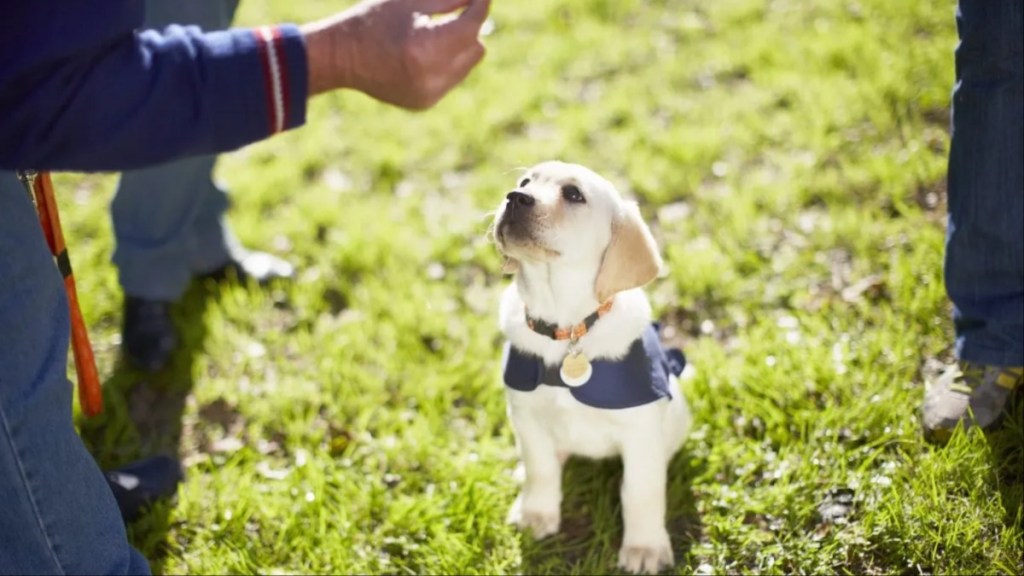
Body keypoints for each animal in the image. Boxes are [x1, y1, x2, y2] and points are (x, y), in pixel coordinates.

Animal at [491, 158, 692, 569]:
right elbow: (541, 468)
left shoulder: (639, 432)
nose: (514, 197)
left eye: (573, 194)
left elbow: (640, 491)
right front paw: (537, 513)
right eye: (525, 181)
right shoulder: (526, 414)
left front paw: (644, 548)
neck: (566, 328)